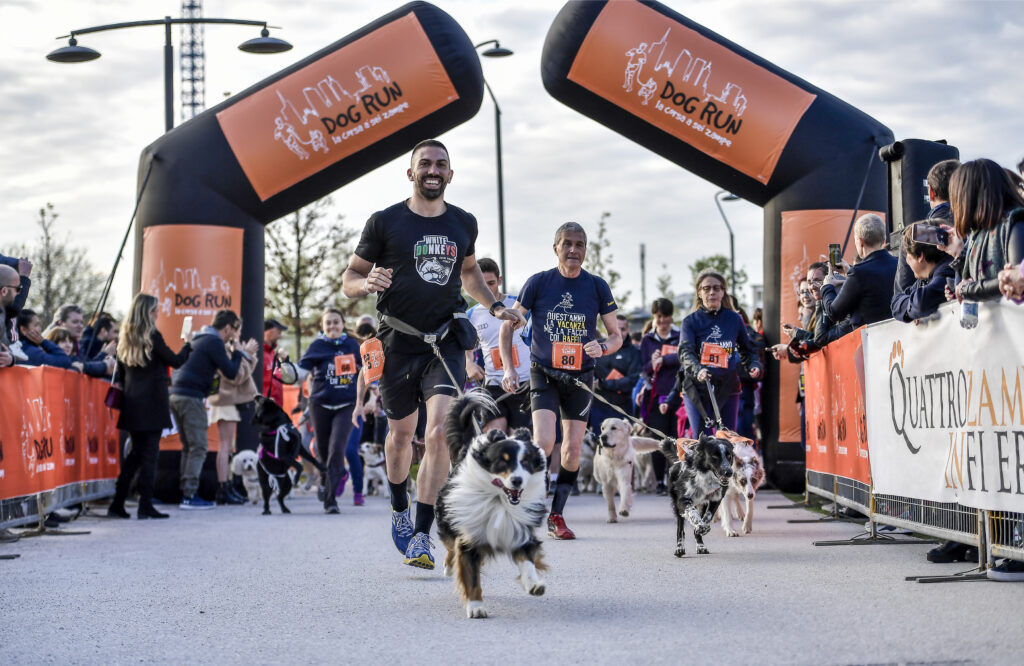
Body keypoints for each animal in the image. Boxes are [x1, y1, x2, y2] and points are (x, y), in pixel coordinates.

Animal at [434, 389, 548, 618]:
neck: (500, 502)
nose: (517, 481)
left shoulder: (519, 530)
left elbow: (528, 560)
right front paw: (476, 607)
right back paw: (449, 567)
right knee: (450, 548)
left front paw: (534, 584)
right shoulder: (468, 537)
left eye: (526, 462)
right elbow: (470, 575)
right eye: (502, 461)